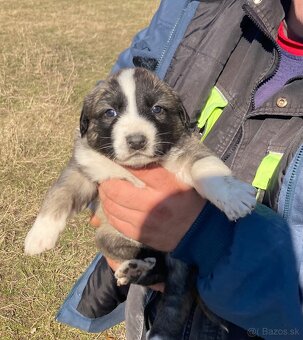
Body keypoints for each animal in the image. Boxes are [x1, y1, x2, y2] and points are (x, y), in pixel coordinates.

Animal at [25, 67, 256, 338]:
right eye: (110, 112)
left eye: (157, 109)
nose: (137, 141)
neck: (137, 168)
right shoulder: (84, 168)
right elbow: (59, 193)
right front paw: (39, 236)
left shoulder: (188, 150)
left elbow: (205, 167)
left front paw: (234, 195)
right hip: (108, 238)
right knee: (150, 268)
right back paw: (134, 268)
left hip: (180, 263)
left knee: (171, 293)